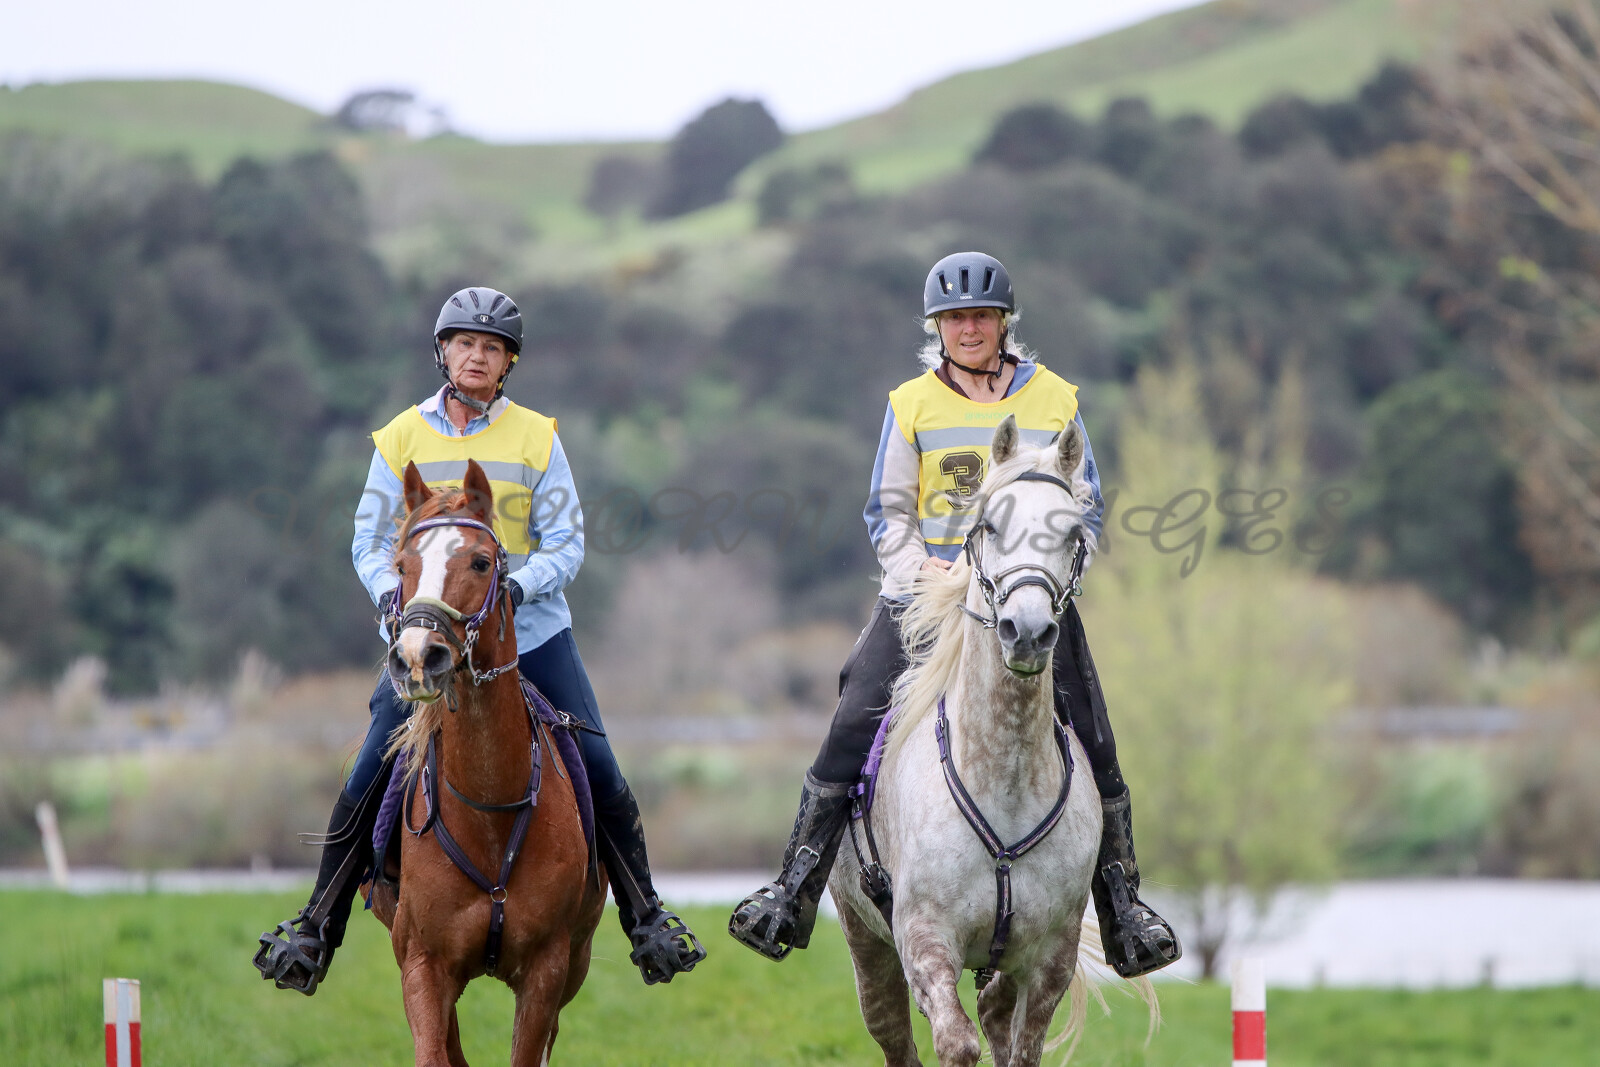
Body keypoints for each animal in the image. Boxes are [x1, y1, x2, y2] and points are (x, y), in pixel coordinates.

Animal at [368, 459, 606, 1067]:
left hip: (577, 962)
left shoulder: (547, 969)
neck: (488, 809)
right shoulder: (423, 966)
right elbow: (435, 1054)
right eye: (401, 565)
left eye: (480, 561)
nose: (417, 658)